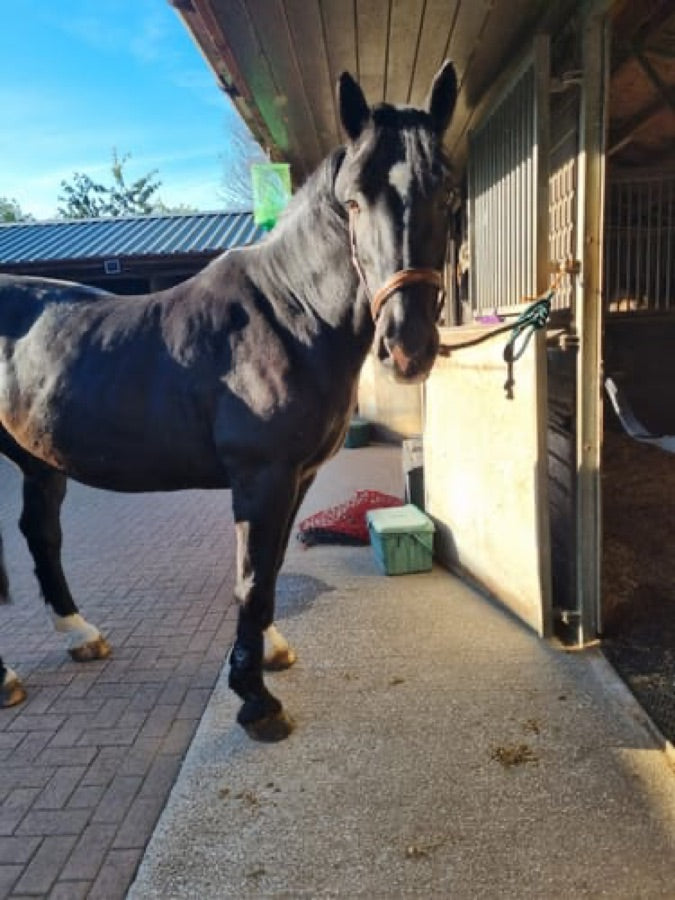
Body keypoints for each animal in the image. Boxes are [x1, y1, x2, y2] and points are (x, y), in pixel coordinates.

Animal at [0, 61, 457, 740]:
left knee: (41, 534)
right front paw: (256, 699)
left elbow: (270, 568)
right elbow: (252, 579)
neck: (289, 315)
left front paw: (266, 654)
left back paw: (79, 633)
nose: (408, 345)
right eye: (353, 200)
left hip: (40, 461)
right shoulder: (260, 478)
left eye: (447, 193)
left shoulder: (296, 477)